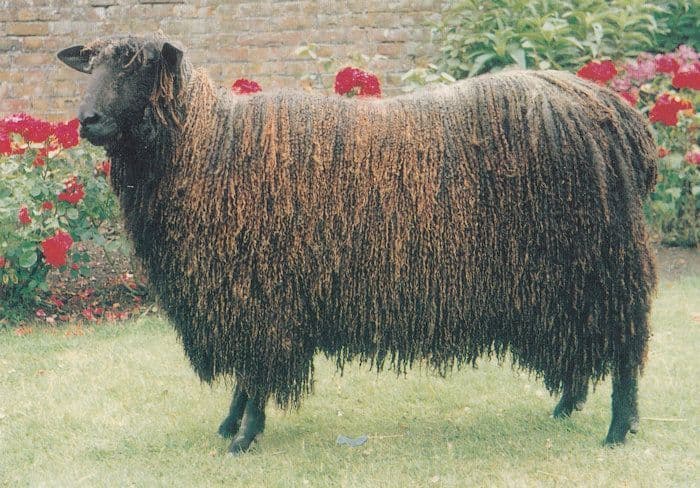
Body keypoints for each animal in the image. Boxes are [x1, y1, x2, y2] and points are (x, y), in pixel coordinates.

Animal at [57, 34, 657, 454]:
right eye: (92, 65)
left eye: (139, 65)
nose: (86, 120)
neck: (206, 145)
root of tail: (616, 113)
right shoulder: (241, 294)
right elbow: (247, 374)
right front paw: (231, 423)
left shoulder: (260, 294)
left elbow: (255, 371)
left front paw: (244, 436)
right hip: (564, 274)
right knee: (579, 338)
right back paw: (566, 406)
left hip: (604, 261)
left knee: (623, 345)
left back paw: (618, 429)